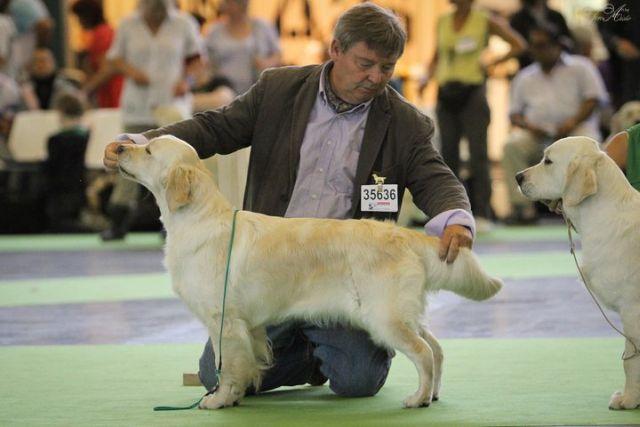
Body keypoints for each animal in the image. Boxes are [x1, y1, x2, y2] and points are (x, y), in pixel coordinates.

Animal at [117, 137, 502, 412]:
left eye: (147, 150)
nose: (118, 147)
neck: (198, 218)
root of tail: (406, 234)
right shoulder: (247, 326)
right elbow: (246, 363)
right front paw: (238, 394)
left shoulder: (223, 320)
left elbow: (227, 366)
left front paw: (219, 399)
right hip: (403, 312)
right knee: (436, 349)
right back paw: (433, 394)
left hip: (384, 317)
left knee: (423, 352)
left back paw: (418, 398)